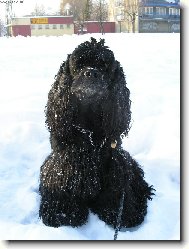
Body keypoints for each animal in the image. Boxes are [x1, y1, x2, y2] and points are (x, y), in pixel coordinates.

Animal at [39, 37, 154, 231]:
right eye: (79, 64)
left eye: (104, 66)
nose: (91, 73)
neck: (89, 131)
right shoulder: (64, 161)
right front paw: (63, 213)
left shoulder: (113, 161)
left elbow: (115, 190)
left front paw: (119, 213)